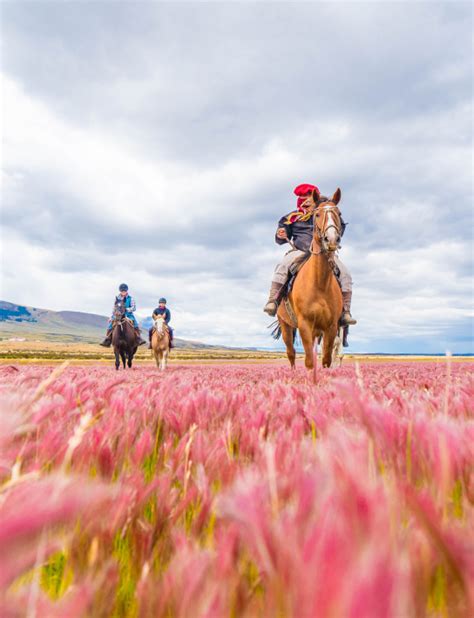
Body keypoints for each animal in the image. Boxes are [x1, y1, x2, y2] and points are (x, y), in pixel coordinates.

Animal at [276, 188, 342, 368]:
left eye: (339, 214)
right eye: (317, 215)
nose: (331, 239)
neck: (319, 283)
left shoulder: (330, 327)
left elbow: (325, 360)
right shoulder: (304, 325)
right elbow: (309, 361)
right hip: (285, 325)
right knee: (291, 353)